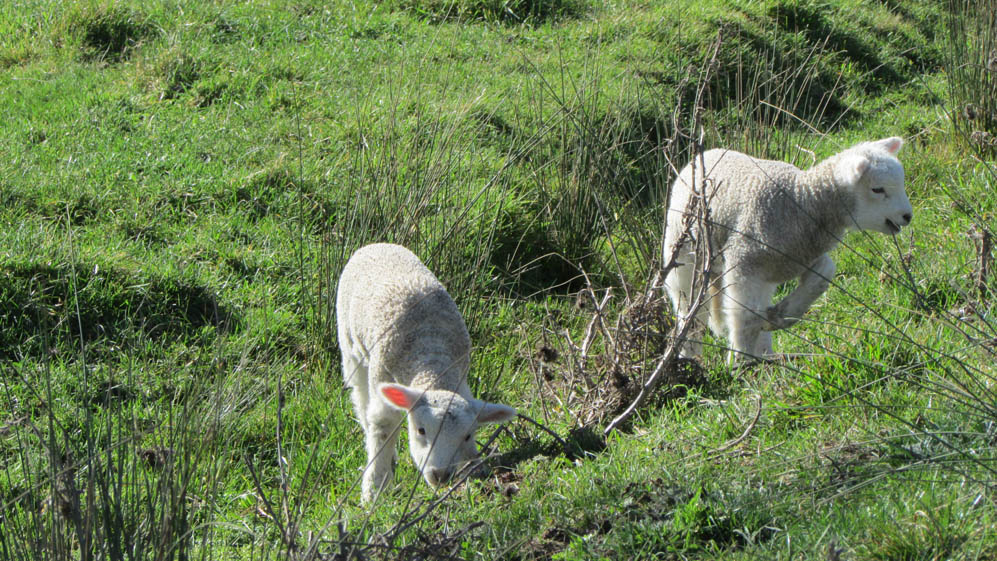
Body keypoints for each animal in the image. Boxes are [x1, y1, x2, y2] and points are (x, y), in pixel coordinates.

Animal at [338, 243, 516, 500]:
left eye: (467, 436)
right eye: (421, 430)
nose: (440, 475)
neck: (432, 364)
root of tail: (377, 244)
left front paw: (474, 466)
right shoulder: (383, 380)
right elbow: (382, 429)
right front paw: (375, 489)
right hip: (351, 346)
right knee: (361, 399)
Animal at [660, 138, 912, 360]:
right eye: (877, 189)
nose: (907, 216)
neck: (803, 201)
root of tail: (700, 156)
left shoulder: (800, 255)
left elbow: (823, 274)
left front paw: (779, 317)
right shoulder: (743, 262)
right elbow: (745, 318)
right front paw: (739, 363)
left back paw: (766, 356)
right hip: (683, 255)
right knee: (689, 312)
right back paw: (690, 357)